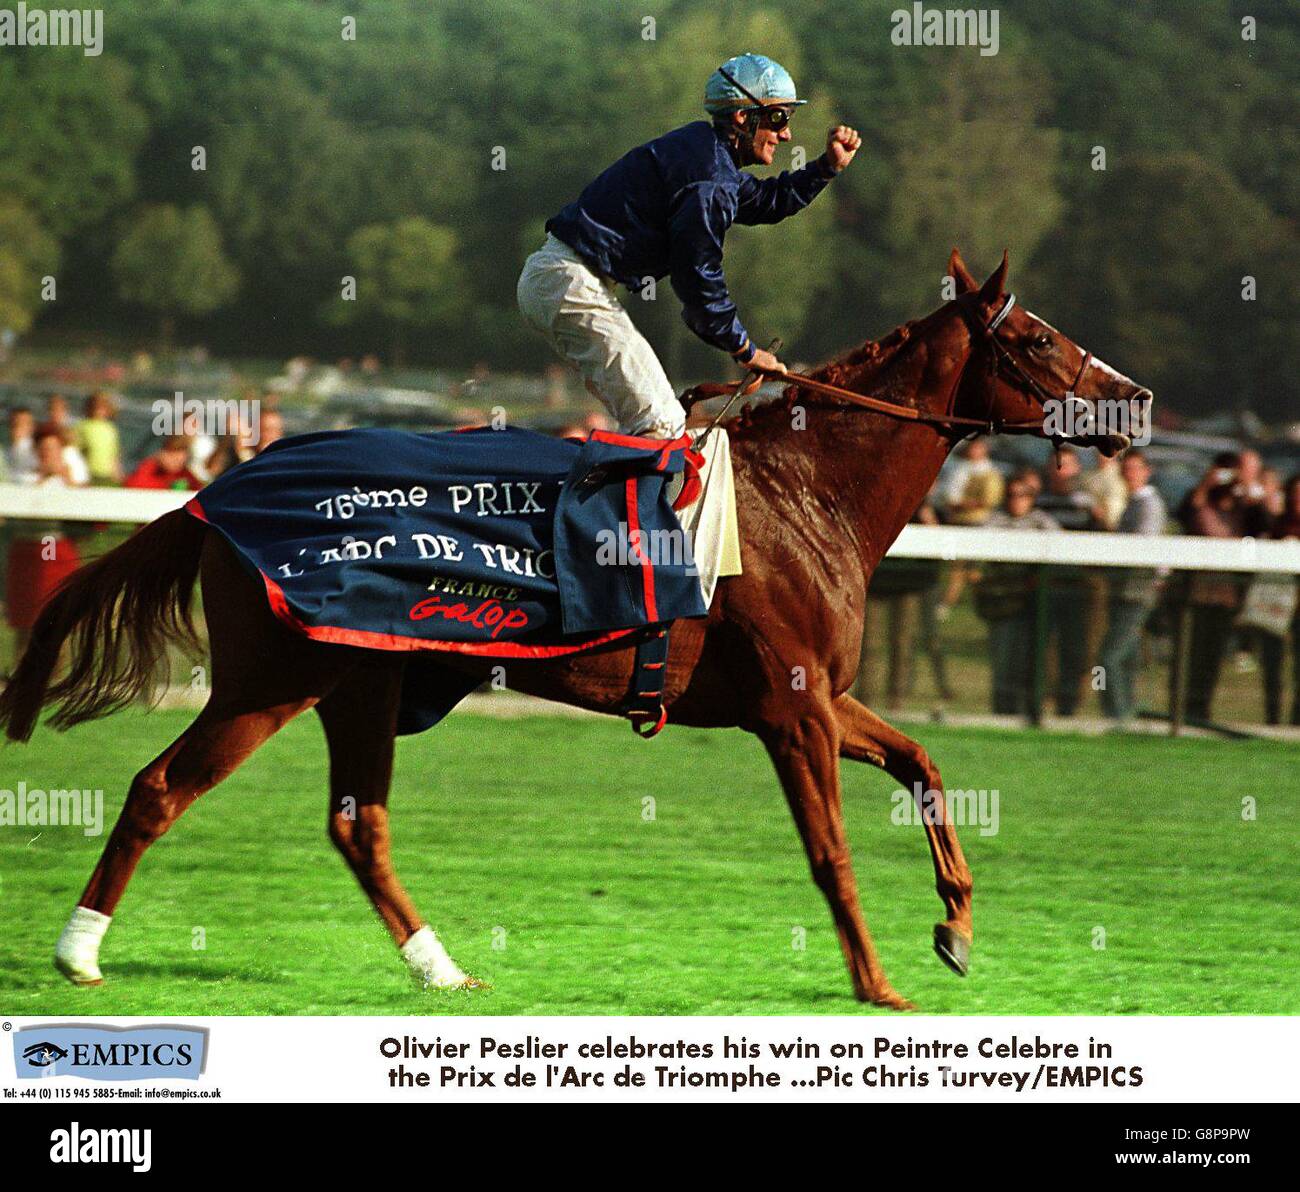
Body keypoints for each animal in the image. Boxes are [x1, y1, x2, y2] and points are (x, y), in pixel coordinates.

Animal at [5, 250, 1154, 1003]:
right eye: (1038, 336)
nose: (1135, 398)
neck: (805, 492)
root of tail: (216, 491)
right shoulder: (792, 712)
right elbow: (829, 848)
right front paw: (878, 986)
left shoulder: (820, 695)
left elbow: (922, 762)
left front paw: (955, 926)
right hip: (271, 677)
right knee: (160, 788)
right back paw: (78, 953)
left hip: (360, 683)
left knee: (357, 825)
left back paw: (443, 968)